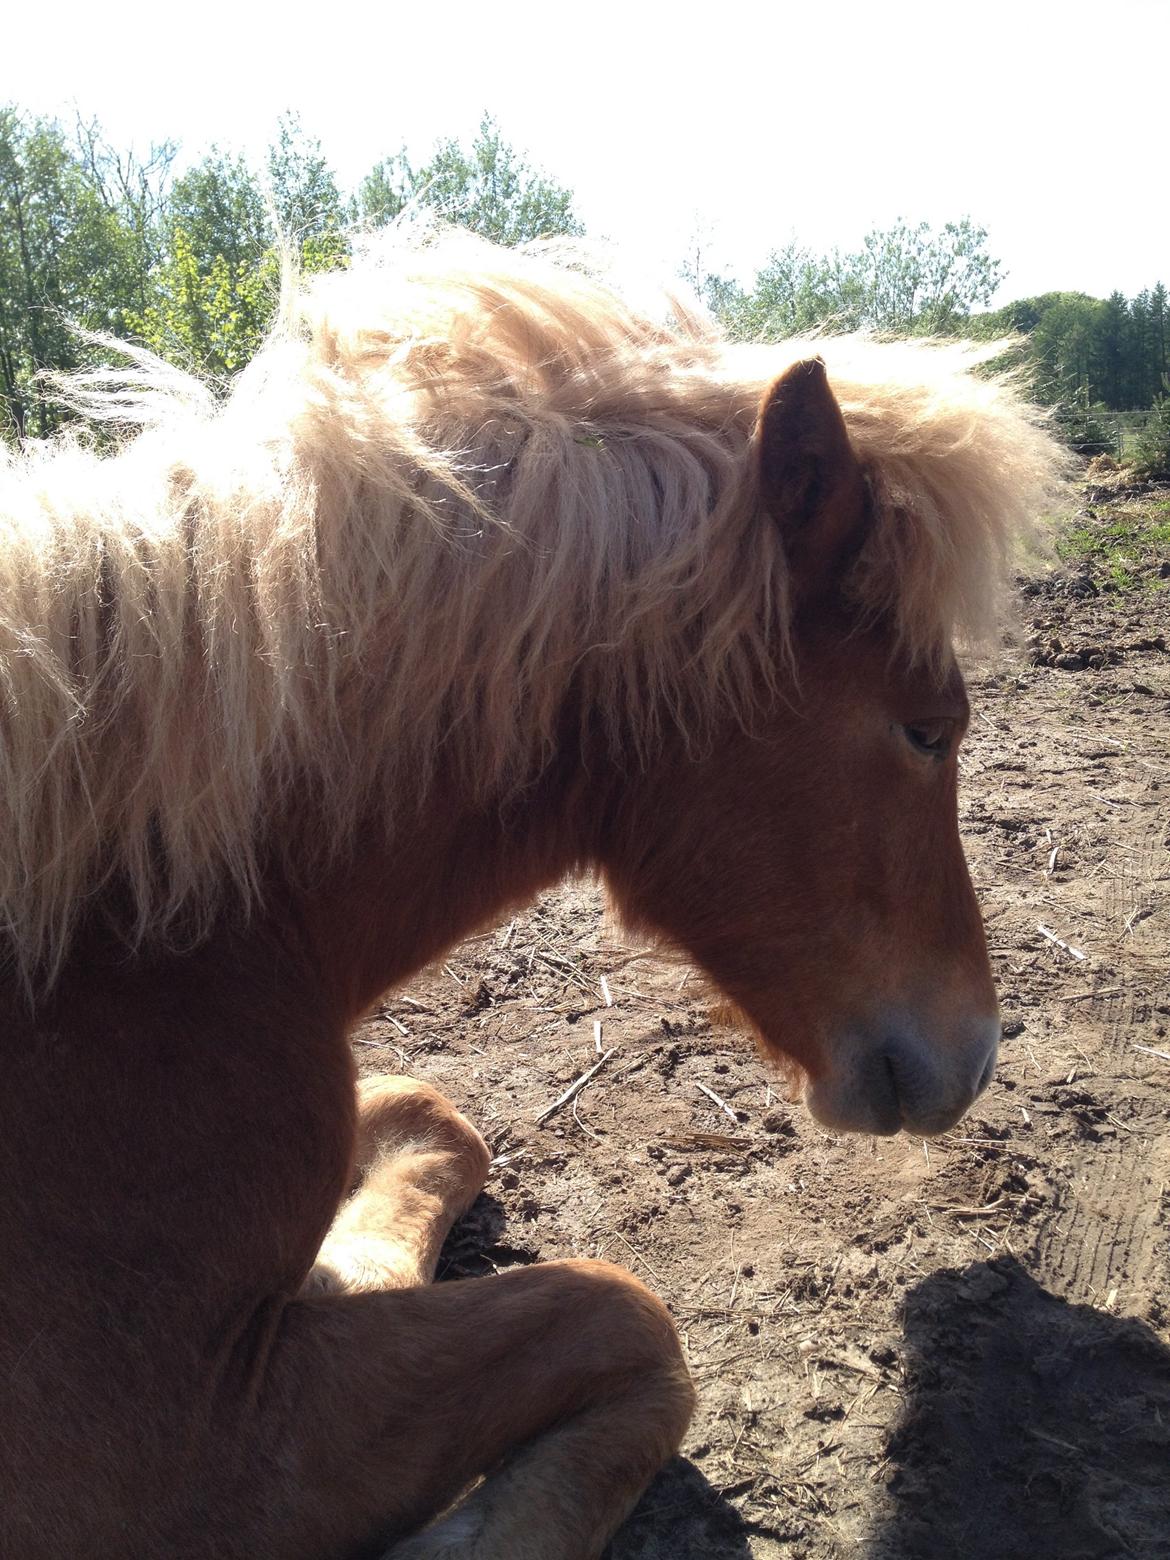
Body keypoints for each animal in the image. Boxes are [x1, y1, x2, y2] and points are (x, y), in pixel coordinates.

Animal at [0, 233, 1060, 1560]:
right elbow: (624, 1315)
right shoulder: (176, 1454)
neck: (131, 942)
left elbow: (432, 1125)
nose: (978, 1054)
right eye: (926, 729)